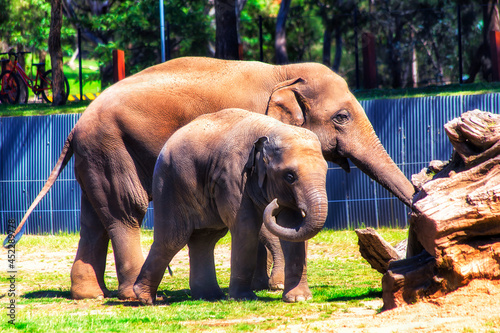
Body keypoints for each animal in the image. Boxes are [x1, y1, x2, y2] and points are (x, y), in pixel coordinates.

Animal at [133, 109, 328, 304]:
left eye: (326, 171)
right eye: (290, 176)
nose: (274, 203)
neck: (271, 129)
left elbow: (290, 226)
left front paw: (299, 299)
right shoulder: (233, 176)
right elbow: (246, 227)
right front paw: (244, 298)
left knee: (205, 238)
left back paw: (209, 296)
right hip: (169, 184)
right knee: (172, 238)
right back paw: (145, 298)